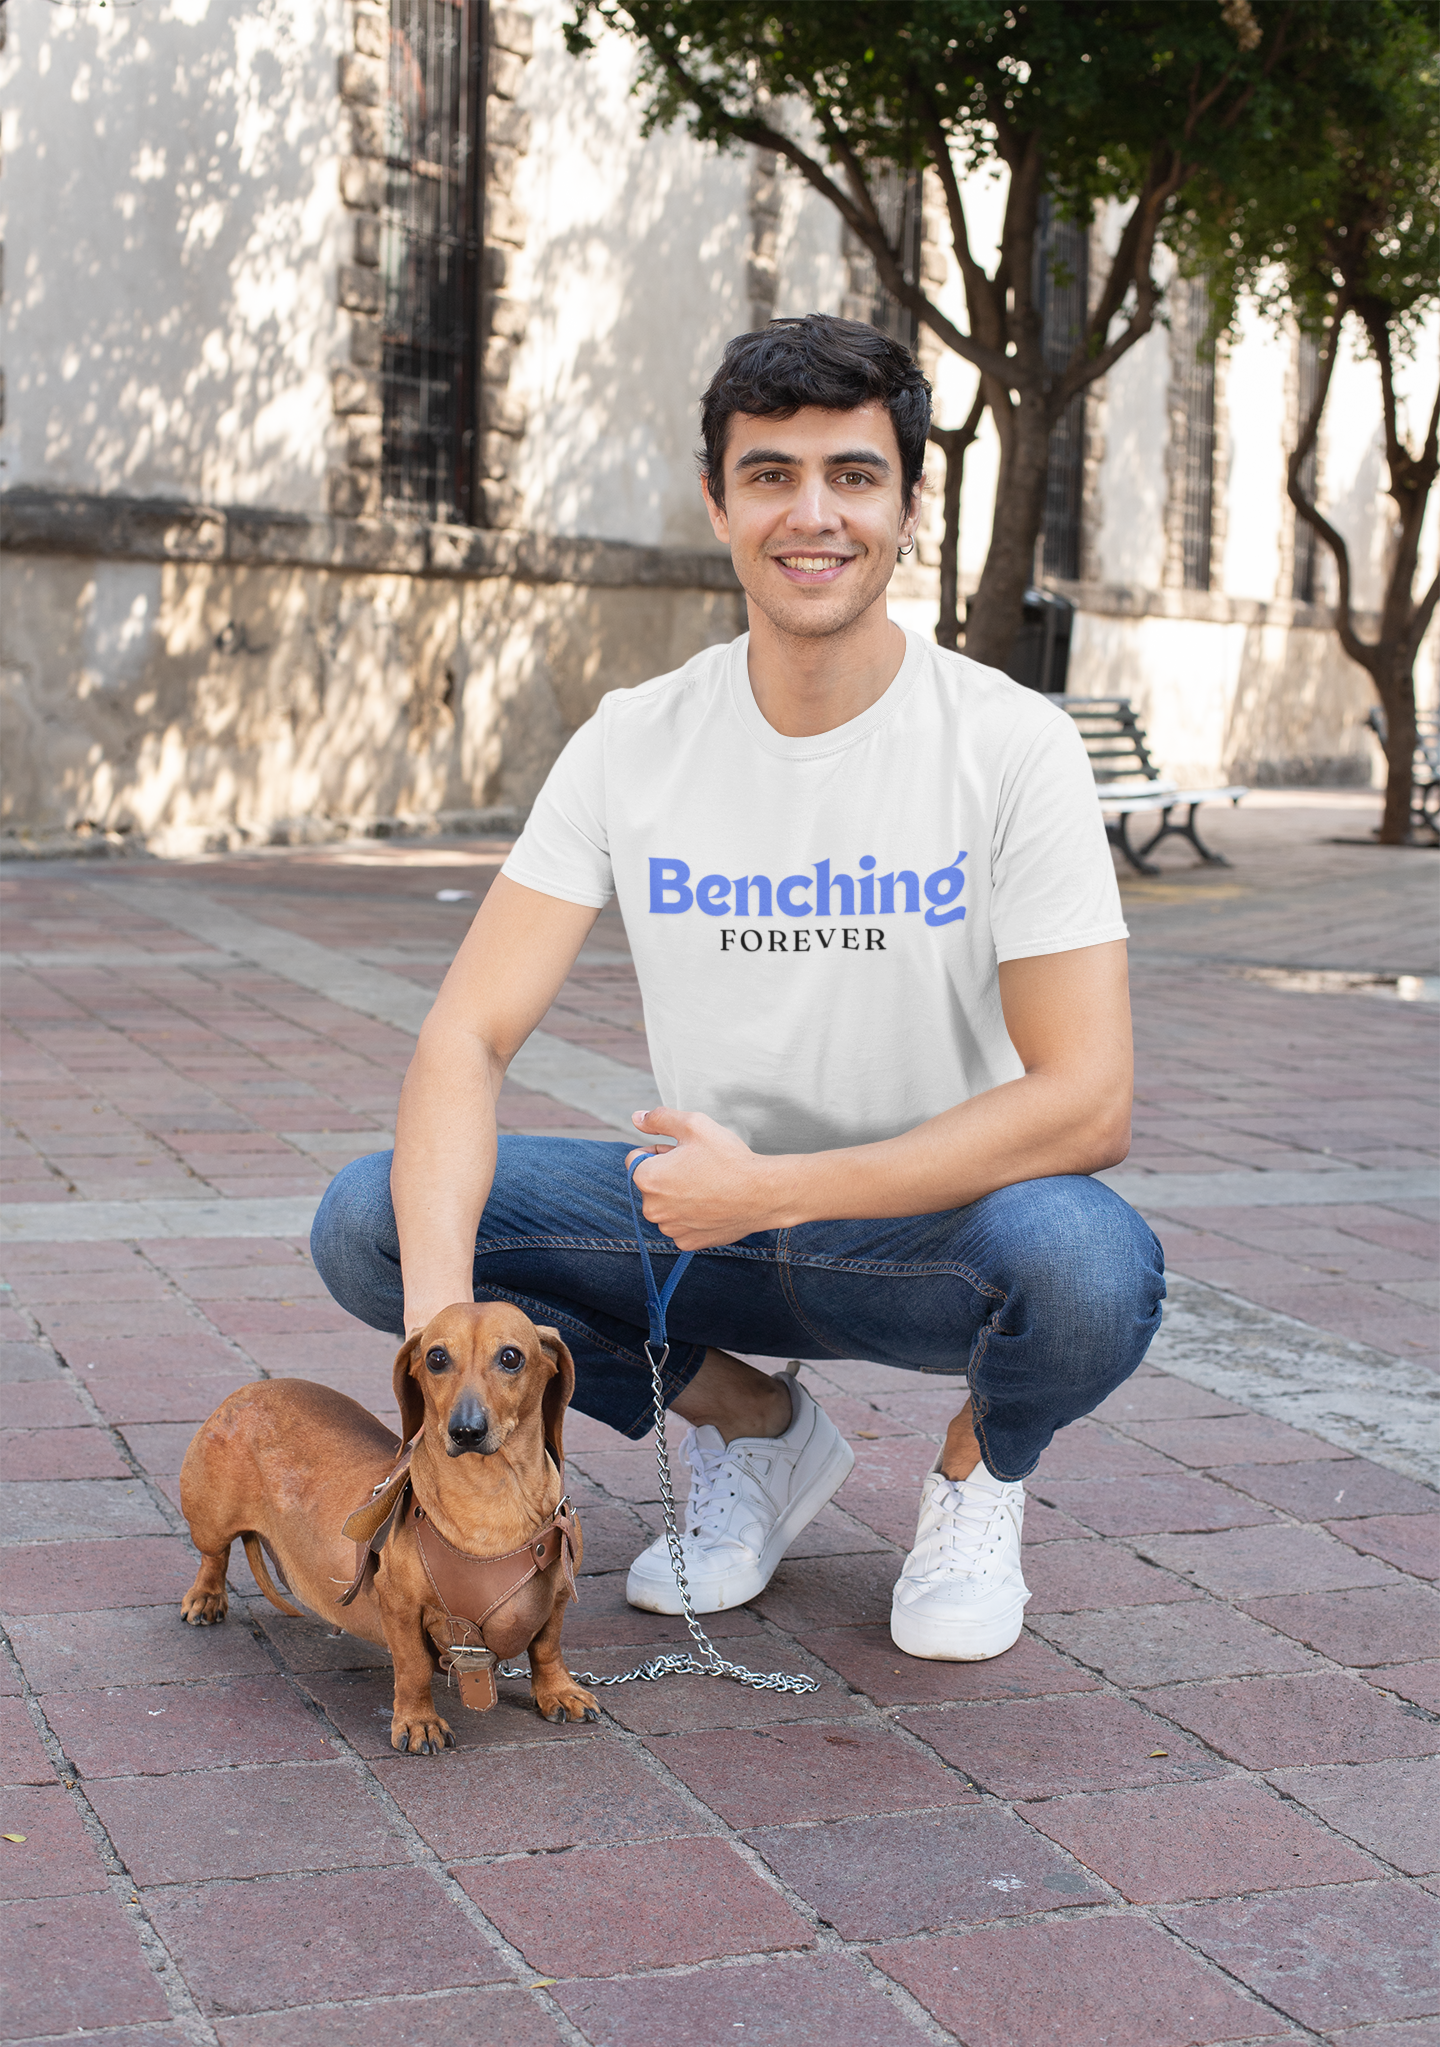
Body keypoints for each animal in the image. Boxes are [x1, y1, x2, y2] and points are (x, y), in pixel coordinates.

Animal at [179, 1301, 598, 1752]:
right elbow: (413, 1667)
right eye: (436, 1358)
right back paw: (205, 1598)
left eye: (510, 1357)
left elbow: (547, 1648)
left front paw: (559, 1692)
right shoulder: (399, 1604)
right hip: (210, 1521)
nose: (465, 1431)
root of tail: (249, 1390)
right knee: (213, 1556)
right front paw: (419, 1722)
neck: (490, 1500)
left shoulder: (557, 1597)